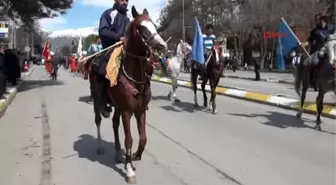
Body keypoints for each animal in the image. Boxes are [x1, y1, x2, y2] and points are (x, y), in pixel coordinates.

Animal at [88, 6, 167, 184]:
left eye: (154, 25)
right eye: (142, 28)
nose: (162, 45)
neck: (135, 77)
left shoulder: (140, 111)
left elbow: (143, 138)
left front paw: (135, 156)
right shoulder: (127, 112)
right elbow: (129, 139)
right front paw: (129, 169)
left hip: (117, 107)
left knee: (115, 124)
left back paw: (118, 153)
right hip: (97, 101)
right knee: (97, 120)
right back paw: (100, 146)